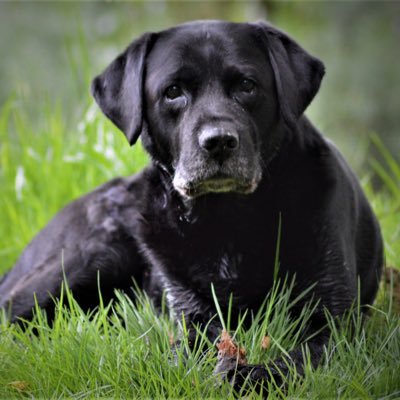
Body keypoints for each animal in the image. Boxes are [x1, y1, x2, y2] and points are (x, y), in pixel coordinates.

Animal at [0, 19, 382, 390]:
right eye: (173, 91)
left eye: (247, 85)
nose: (219, 142)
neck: (228, 217)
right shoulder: (191, 312)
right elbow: (189, 347)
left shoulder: (333, 318)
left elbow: (296, 359)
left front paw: (250, 375)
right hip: (96, 253)